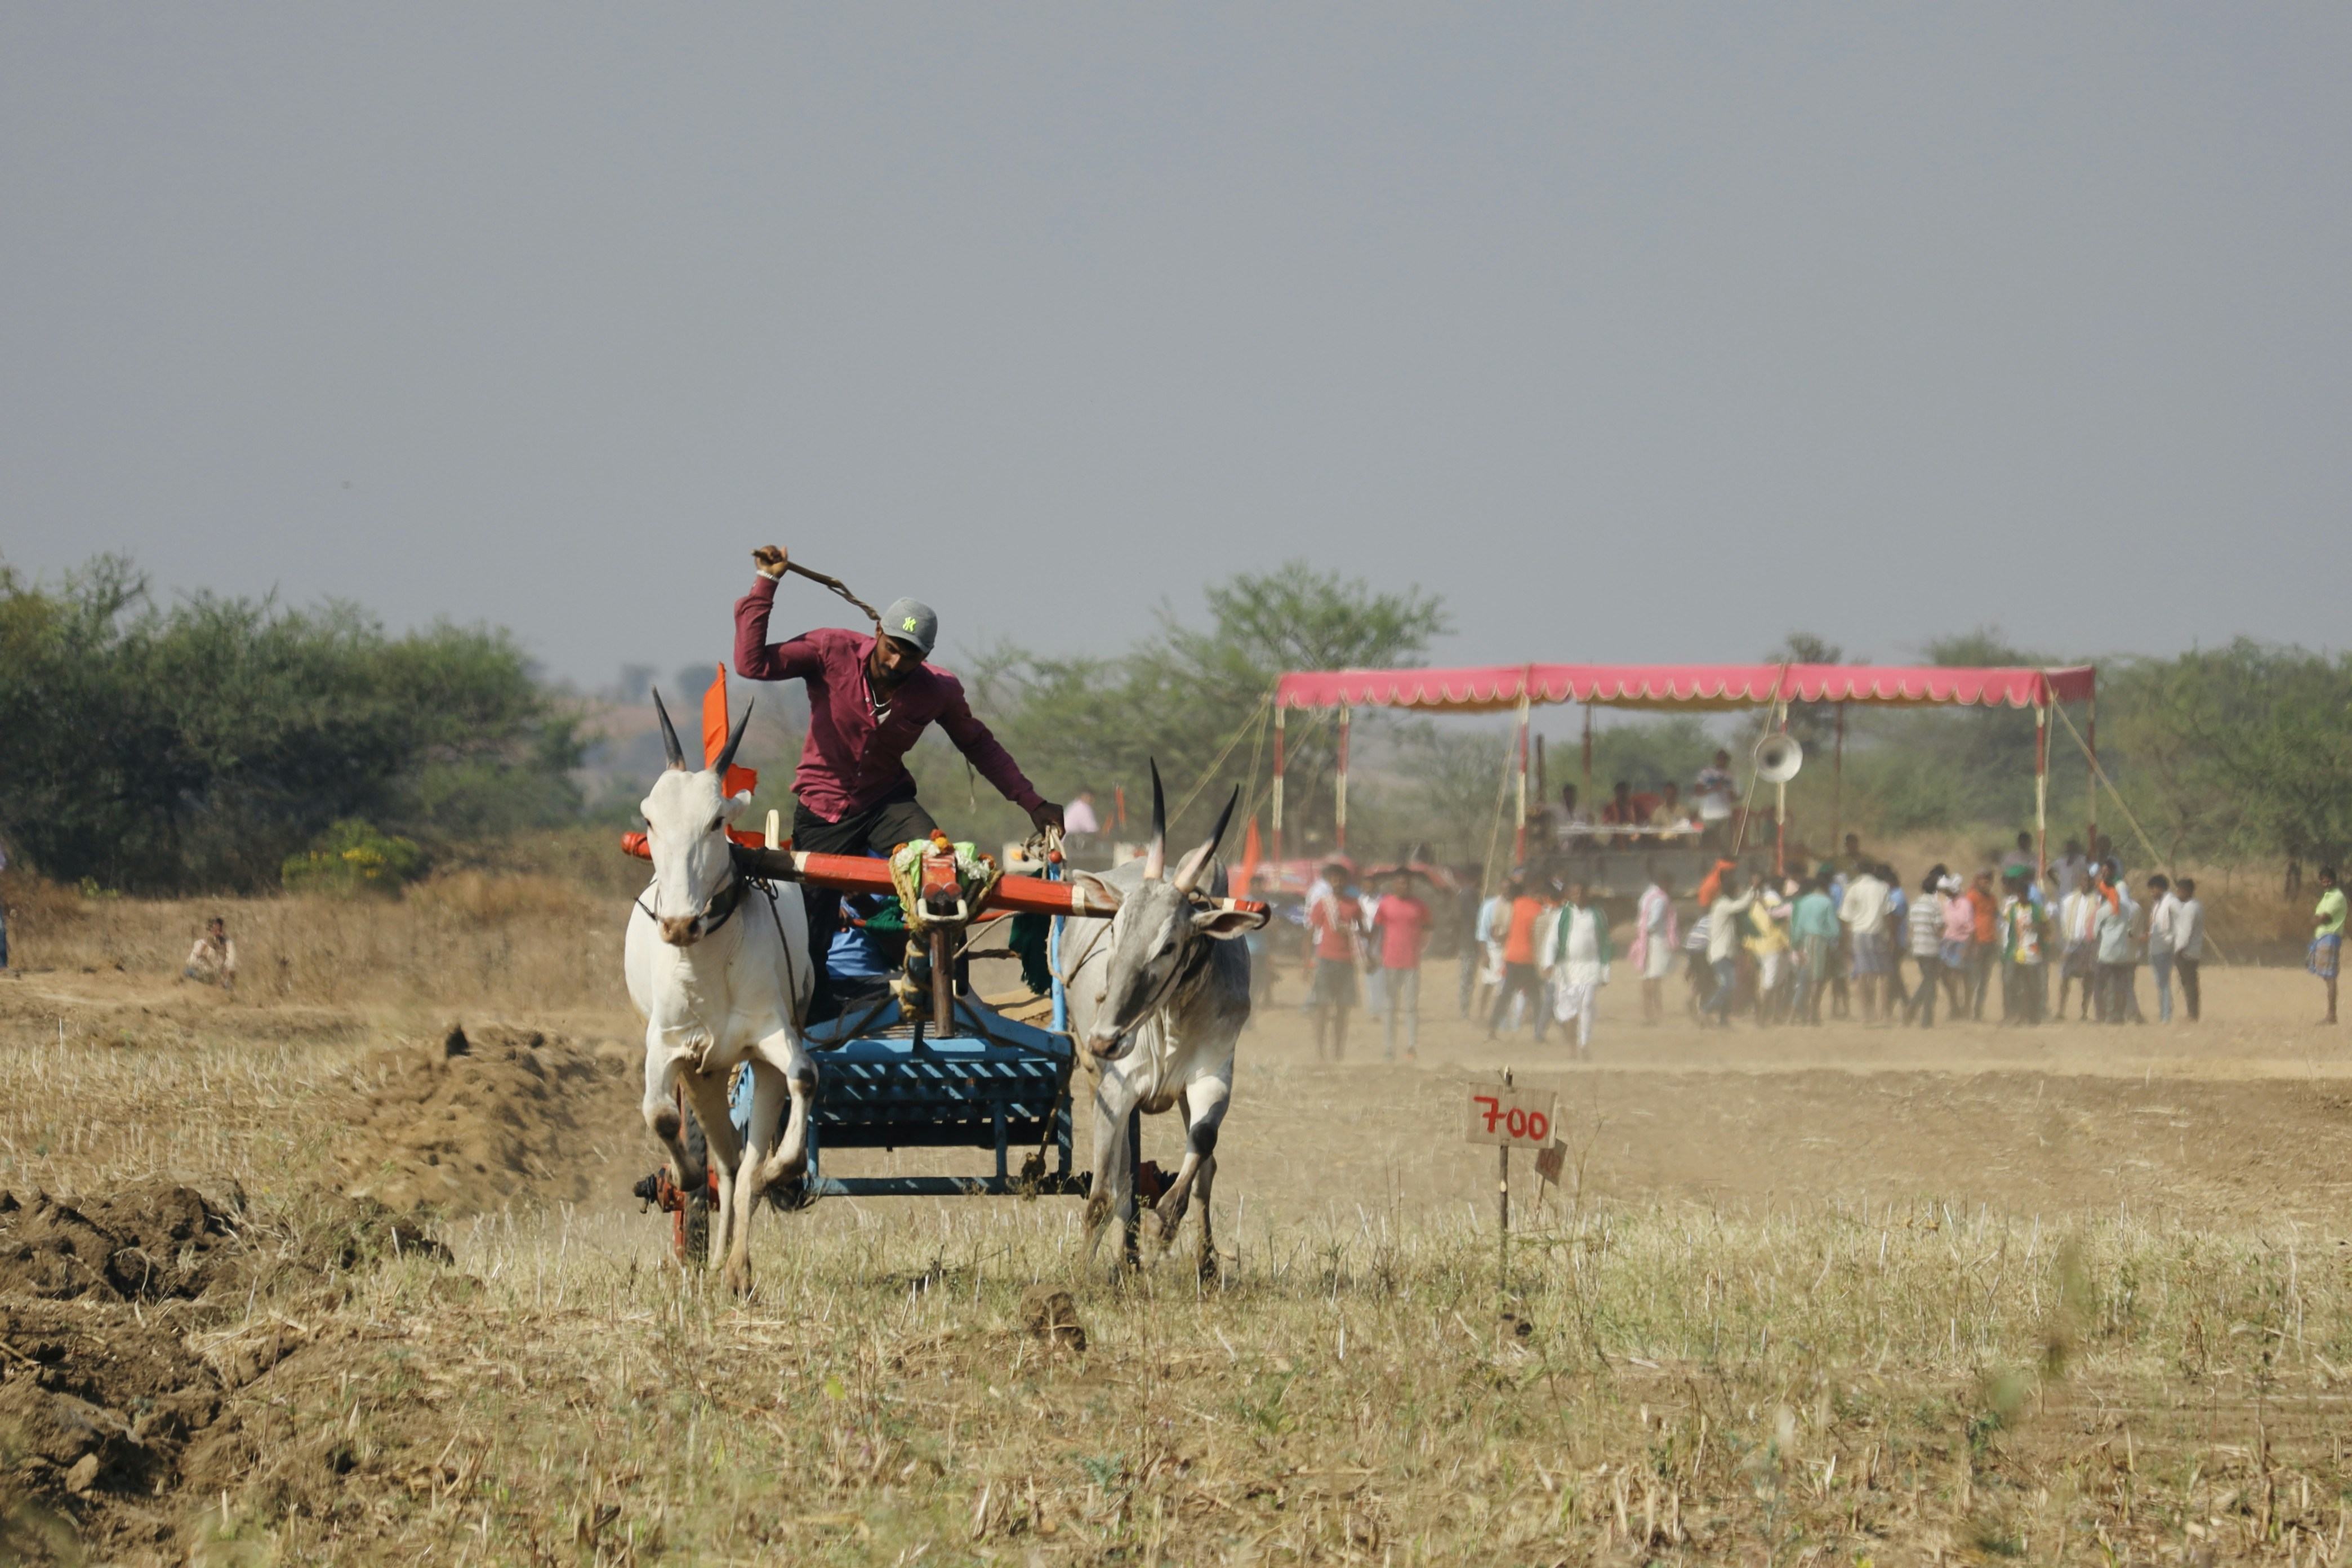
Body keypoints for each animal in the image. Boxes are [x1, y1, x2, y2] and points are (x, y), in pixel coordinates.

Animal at [624, 692, 818, 1296]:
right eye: (649, 818)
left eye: (716, 822)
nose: (679, 924)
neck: (707, 961)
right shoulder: (668, 1046)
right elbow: (661, 1116)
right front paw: (682, 1174)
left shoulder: (774, 1038)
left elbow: (806, 1078)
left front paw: (783, 1169)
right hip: (704, 1074)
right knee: (728, 1161)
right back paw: (714, 1259)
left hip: (751, 1069)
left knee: (745, 1164)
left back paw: (736, 1266)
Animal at [1057, 765, 1267, 1280]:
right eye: (1115, 928)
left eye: (1169, 945)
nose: (1105, 1039)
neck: (1170, 1016)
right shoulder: (1115, 1090)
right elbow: (1103, 1193)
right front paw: (1080, 1272)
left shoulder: (1212, 1077)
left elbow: (1203, 1151)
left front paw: (1165, 1228)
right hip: (1095, 1079)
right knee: (1123, 1175)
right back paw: (1125, 1258)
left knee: (1203, 1170)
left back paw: (1200, 1262)